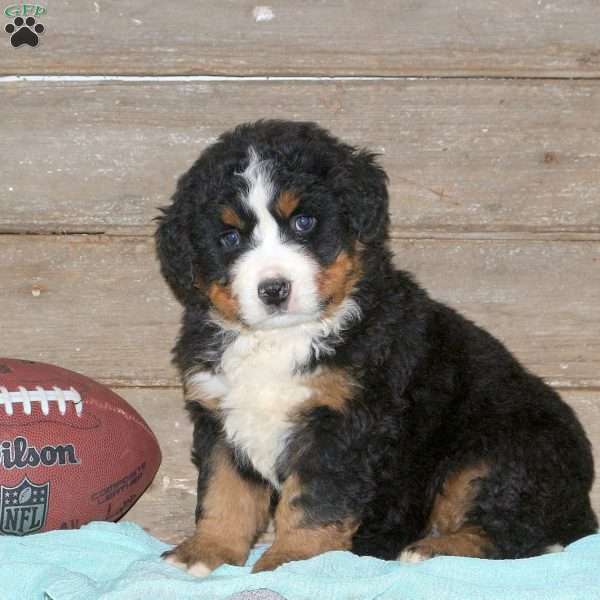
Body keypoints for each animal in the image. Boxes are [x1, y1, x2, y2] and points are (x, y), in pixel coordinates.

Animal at [155, 119, 596, 576]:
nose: (274, 289)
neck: (284, 337)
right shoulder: (219, 419)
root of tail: (580, 505)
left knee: (512, 532)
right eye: (229, 238)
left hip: (493, 451)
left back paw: (431, 549)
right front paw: (205, 550)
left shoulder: (341, 425)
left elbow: (313, 501)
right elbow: (225, 494)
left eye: (304, 222)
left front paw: (293, 561)